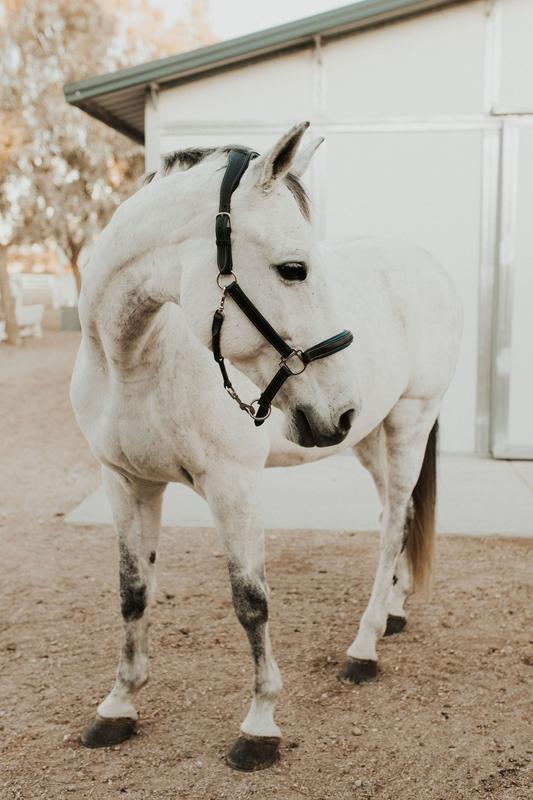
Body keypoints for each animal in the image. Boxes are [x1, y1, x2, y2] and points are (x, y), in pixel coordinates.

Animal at [70, 121, 462, 771]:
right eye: (295, 268)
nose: (338, 410)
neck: (139, 360)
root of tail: (429, 265)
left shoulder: (233, 486)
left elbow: (250, 601)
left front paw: (259, 726)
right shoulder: (125, 482)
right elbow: (132, 592)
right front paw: (118, 706)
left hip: (409, 420)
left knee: (390, 530)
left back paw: (364, 647)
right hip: (370, 437)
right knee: (399, 514)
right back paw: (393, 613)